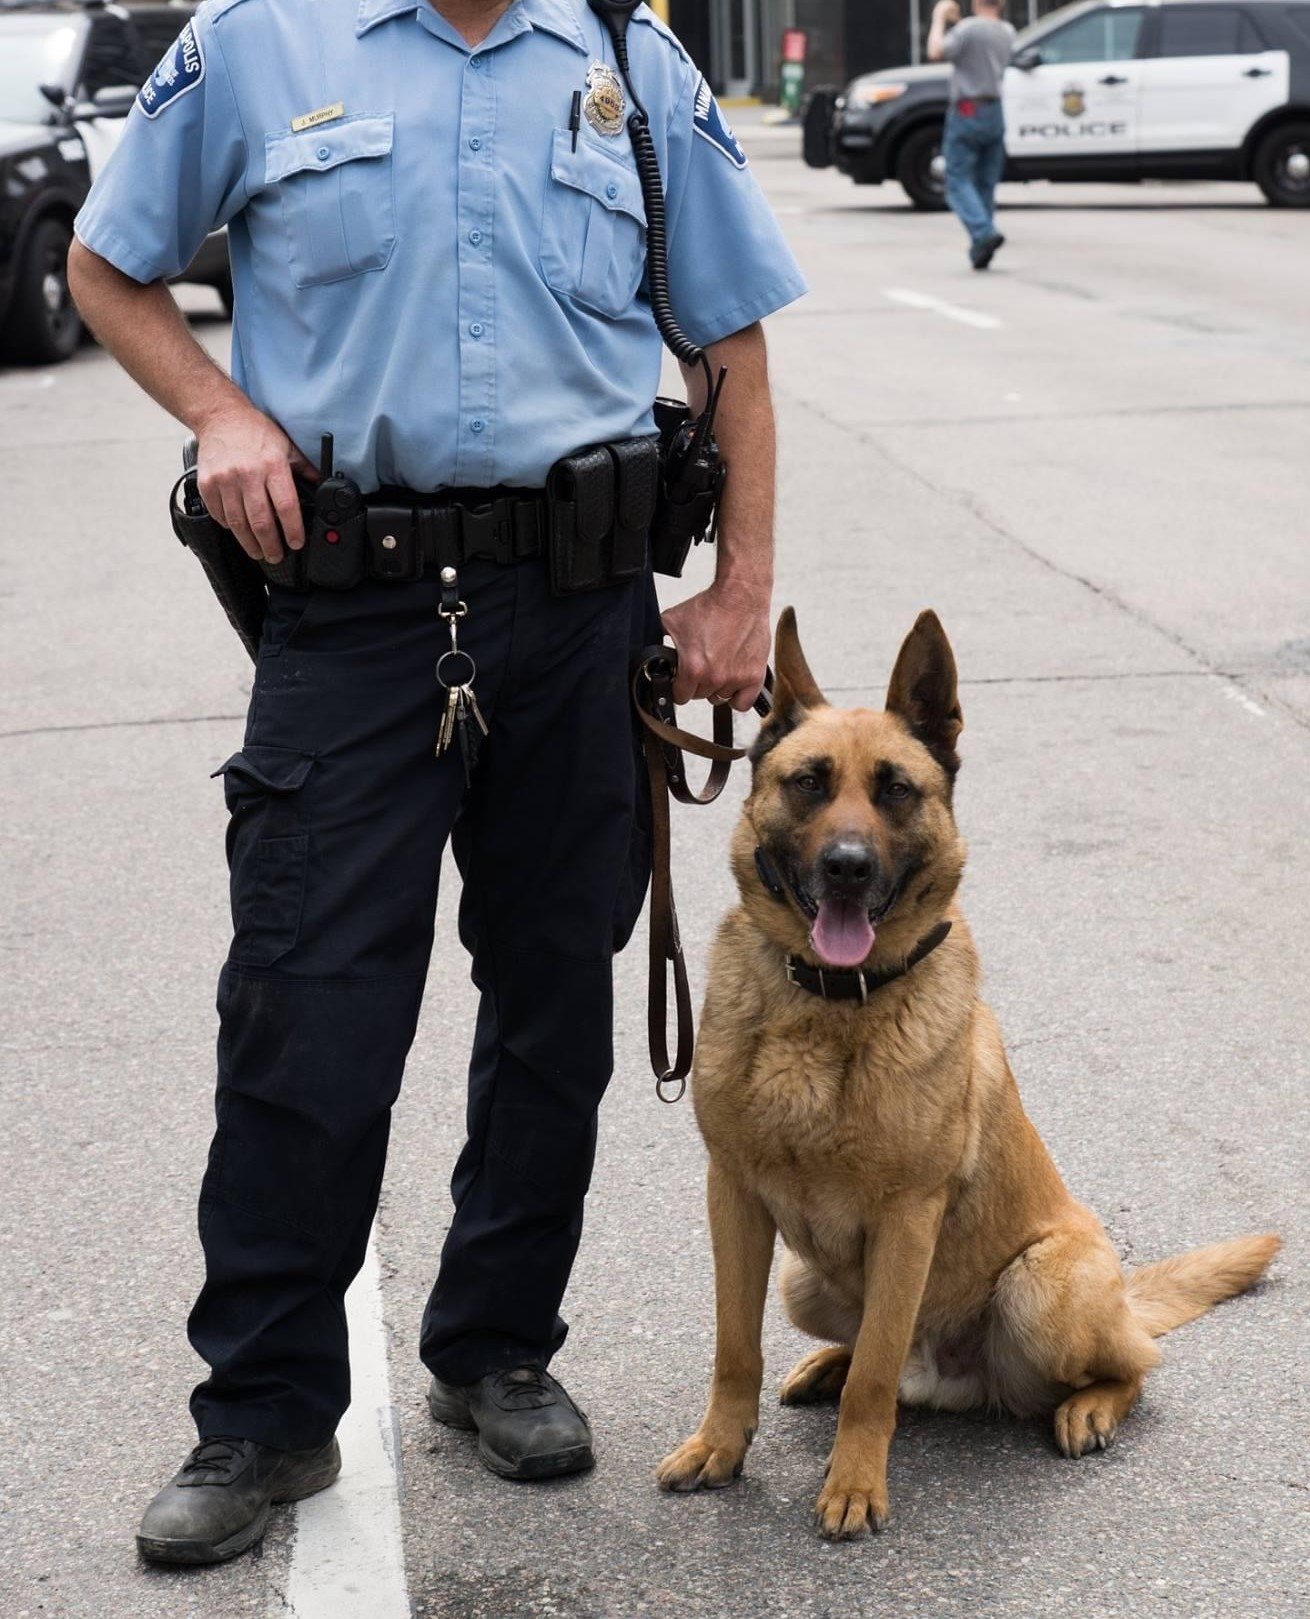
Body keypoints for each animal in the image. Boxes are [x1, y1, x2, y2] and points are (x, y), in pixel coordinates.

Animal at [660, 608, 1269, 1541]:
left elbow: (875, 1378)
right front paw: (721, 1446)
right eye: (809, 782)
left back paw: (1088, 1407)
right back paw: (826, 1364)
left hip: (1039, 1286)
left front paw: (854, 1484)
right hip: (804, 1280)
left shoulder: (909, 1214)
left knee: (1129, 1361)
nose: (846, 865)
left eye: (895, 790)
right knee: (872, 1349)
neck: (828, 1004)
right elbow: (737, 1347)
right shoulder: (733, 1196)